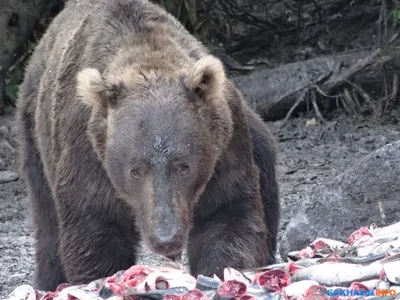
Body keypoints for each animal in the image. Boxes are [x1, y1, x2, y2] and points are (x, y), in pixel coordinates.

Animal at [14, 0, 278, 292]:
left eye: (183, 166)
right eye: (135, 170)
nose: (166, 238)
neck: (146, 59)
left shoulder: (225, 147)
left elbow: (226, 214)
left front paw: (221, 275)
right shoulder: (87, 152)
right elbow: (95, 227)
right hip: (36, 132)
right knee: (47, 217)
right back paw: (48, 280)